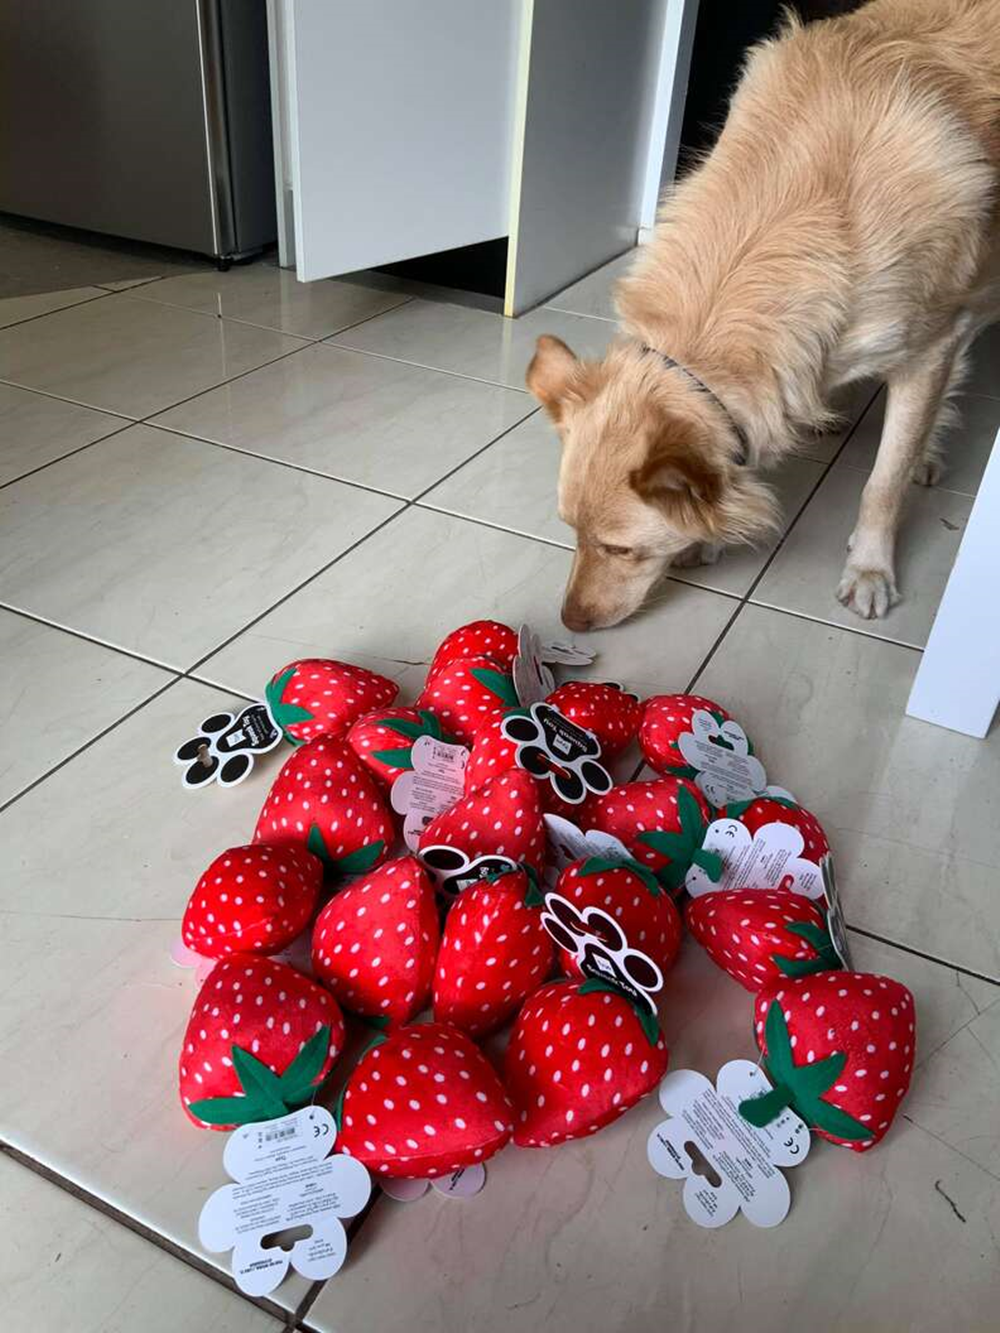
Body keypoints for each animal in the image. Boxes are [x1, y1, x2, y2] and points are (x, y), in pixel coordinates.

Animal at [527, 0, 1000, 632]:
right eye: (570, 531)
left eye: (622, 549)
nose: (571, 622)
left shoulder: (928, 352)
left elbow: (884, 481)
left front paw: (871, 567)